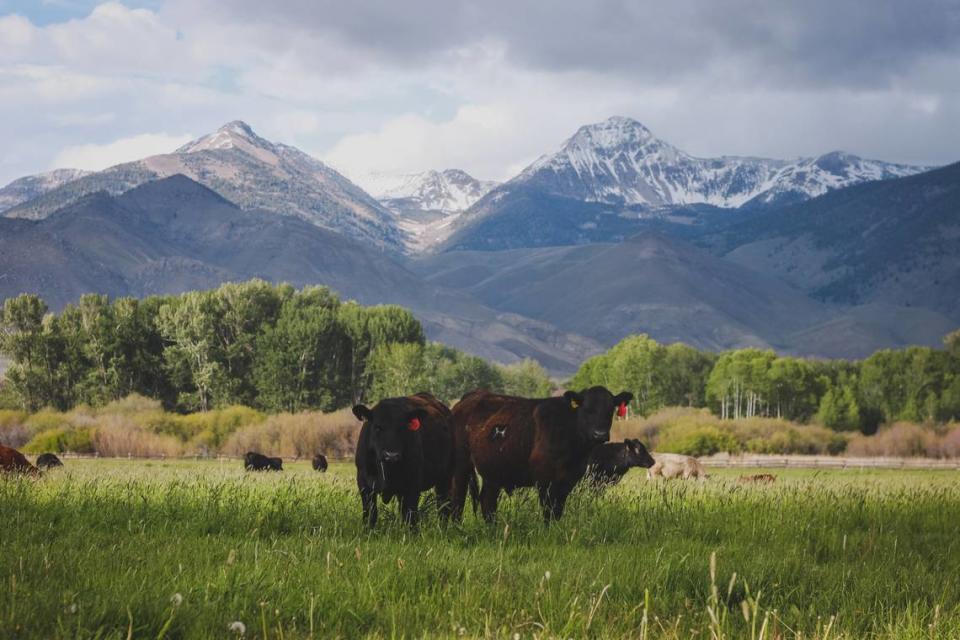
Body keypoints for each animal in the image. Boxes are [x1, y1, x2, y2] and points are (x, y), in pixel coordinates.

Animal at [354, 392, 456, 528]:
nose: (391, 455)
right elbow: (370, 513)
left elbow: (410, 515)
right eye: (377, 427)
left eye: (402, 428)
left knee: (443, 506)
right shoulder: (364, 483)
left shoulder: (412, 484)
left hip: (446, 476)